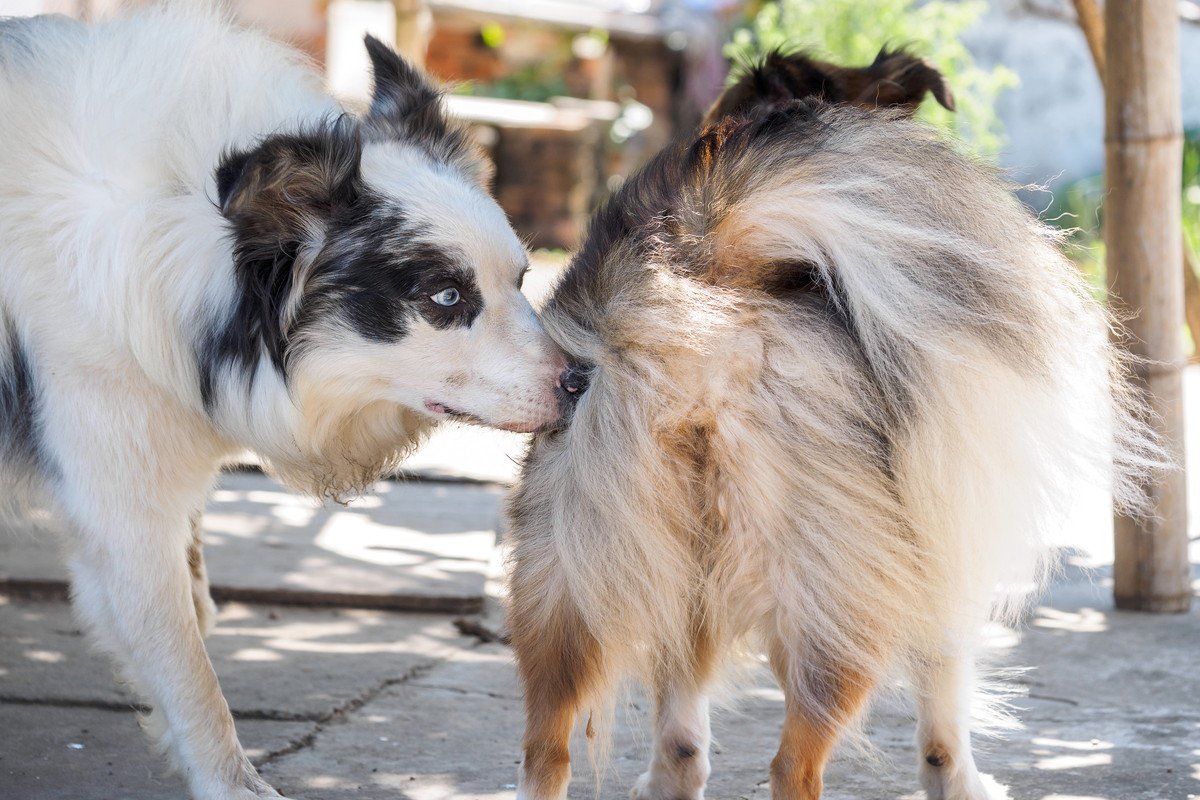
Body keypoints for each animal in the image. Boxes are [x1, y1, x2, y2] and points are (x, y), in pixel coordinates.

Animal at [0, 6, 566, 800]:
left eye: (520, 279)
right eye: (446, 297)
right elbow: (188, 672)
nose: (581, 381)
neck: (183, 242)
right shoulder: (121, 498)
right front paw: (230, 781)